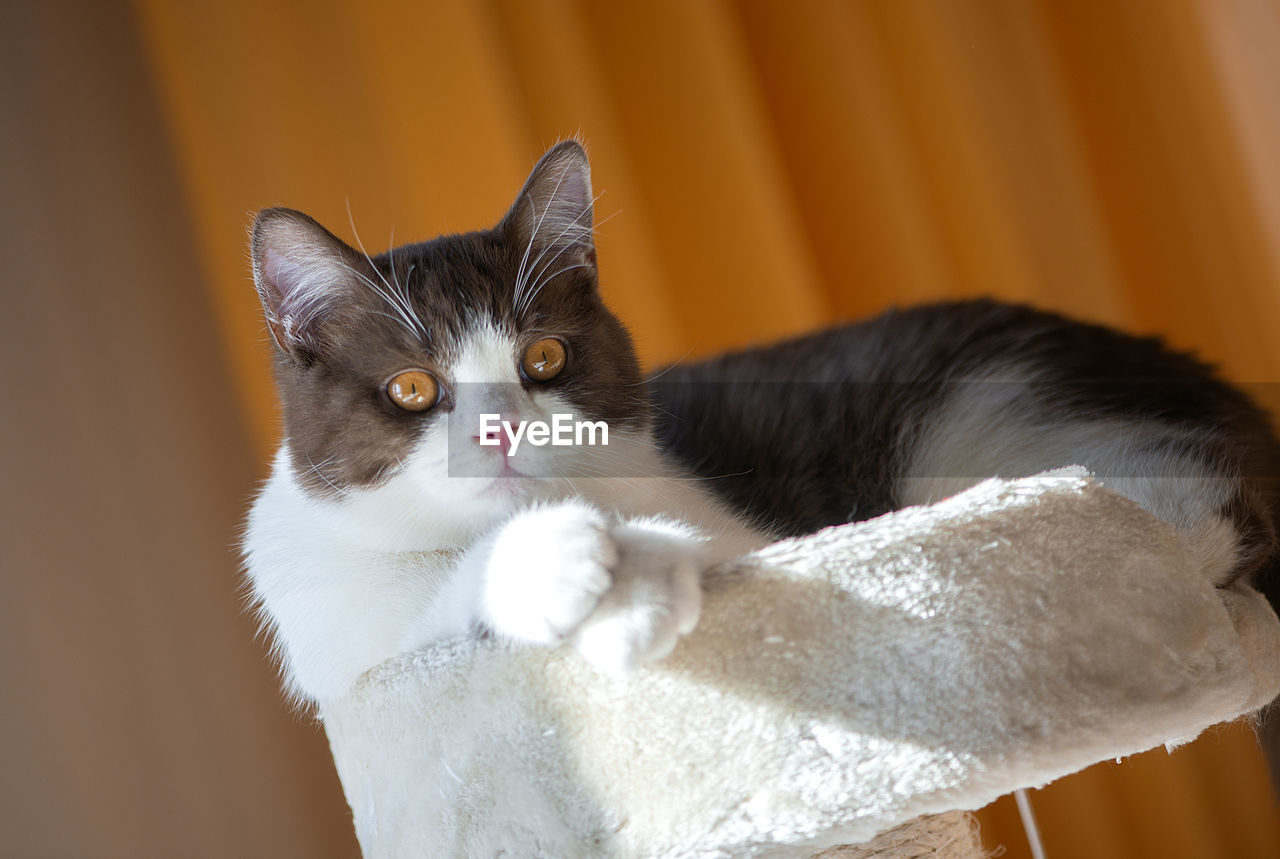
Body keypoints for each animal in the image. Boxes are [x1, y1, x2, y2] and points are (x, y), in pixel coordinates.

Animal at [241, 142, 1280, 778]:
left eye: (544, 360)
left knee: (1180, 511)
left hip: (995, 410)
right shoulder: (344, 634)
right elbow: (424, 603)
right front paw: (575, 569)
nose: (501, 429)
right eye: (413, 387)